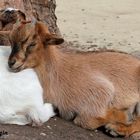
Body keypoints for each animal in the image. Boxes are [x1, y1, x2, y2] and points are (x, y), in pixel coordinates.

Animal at [5, 20, 140, 137]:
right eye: (11, 41)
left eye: (32, 43)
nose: (11, 63)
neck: (58, 71)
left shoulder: (101, 90)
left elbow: (84, 120)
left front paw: (124, 115)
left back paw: (116, 129)